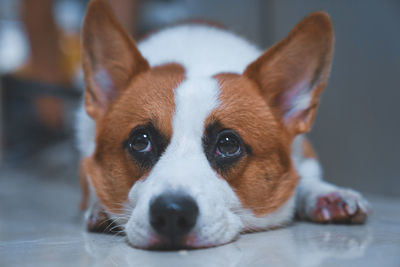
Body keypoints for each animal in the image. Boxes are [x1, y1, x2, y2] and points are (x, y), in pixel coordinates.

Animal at [76, 0, 370, 251]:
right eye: (140, 141)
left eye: (228, 144)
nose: (171, 213)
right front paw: (100, 208)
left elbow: (304, 176)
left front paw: (324, 194)